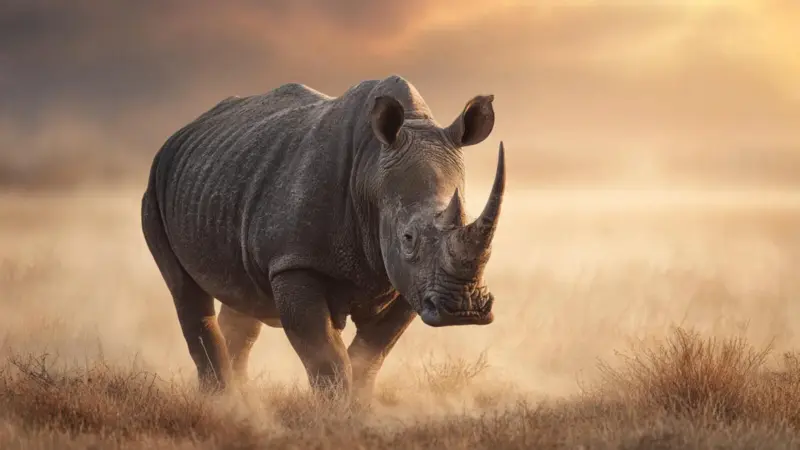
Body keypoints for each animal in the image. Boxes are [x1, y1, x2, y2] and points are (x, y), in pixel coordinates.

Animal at [140, 75, 506, 402]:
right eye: (408, 237)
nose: (463, 309)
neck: (371, 171)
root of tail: (184, 130)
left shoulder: (411, 281)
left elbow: (371, 353)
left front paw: (357, 412)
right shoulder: (295, 261)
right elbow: (325, 355)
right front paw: (333, 417)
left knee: (244, 300)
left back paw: (242, 401)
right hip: (155, 187)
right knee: (185, 290)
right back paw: (223, 405)